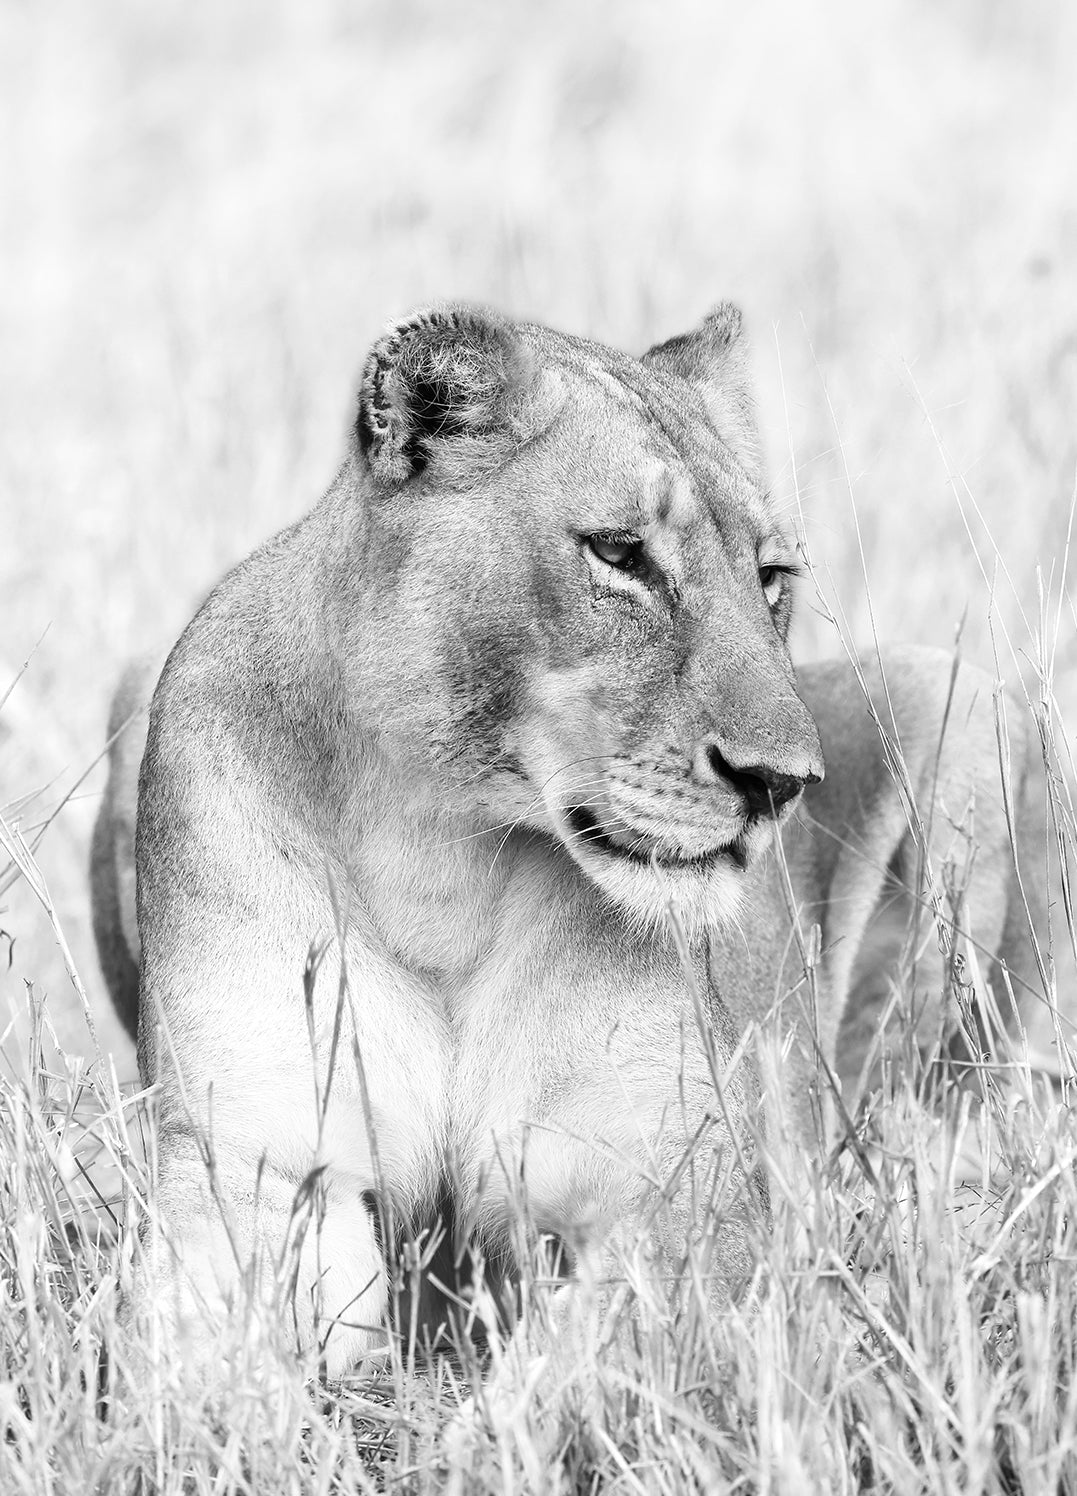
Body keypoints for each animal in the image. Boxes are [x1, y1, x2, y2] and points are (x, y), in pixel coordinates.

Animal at [90, 302, 1070, 1398]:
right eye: (620, 554)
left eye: (770, 576)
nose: (780, 783)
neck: (441, 851)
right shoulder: (258, 1171)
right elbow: (192, 1366)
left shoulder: (685, 1207)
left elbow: (552, 1381)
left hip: (954, 702)